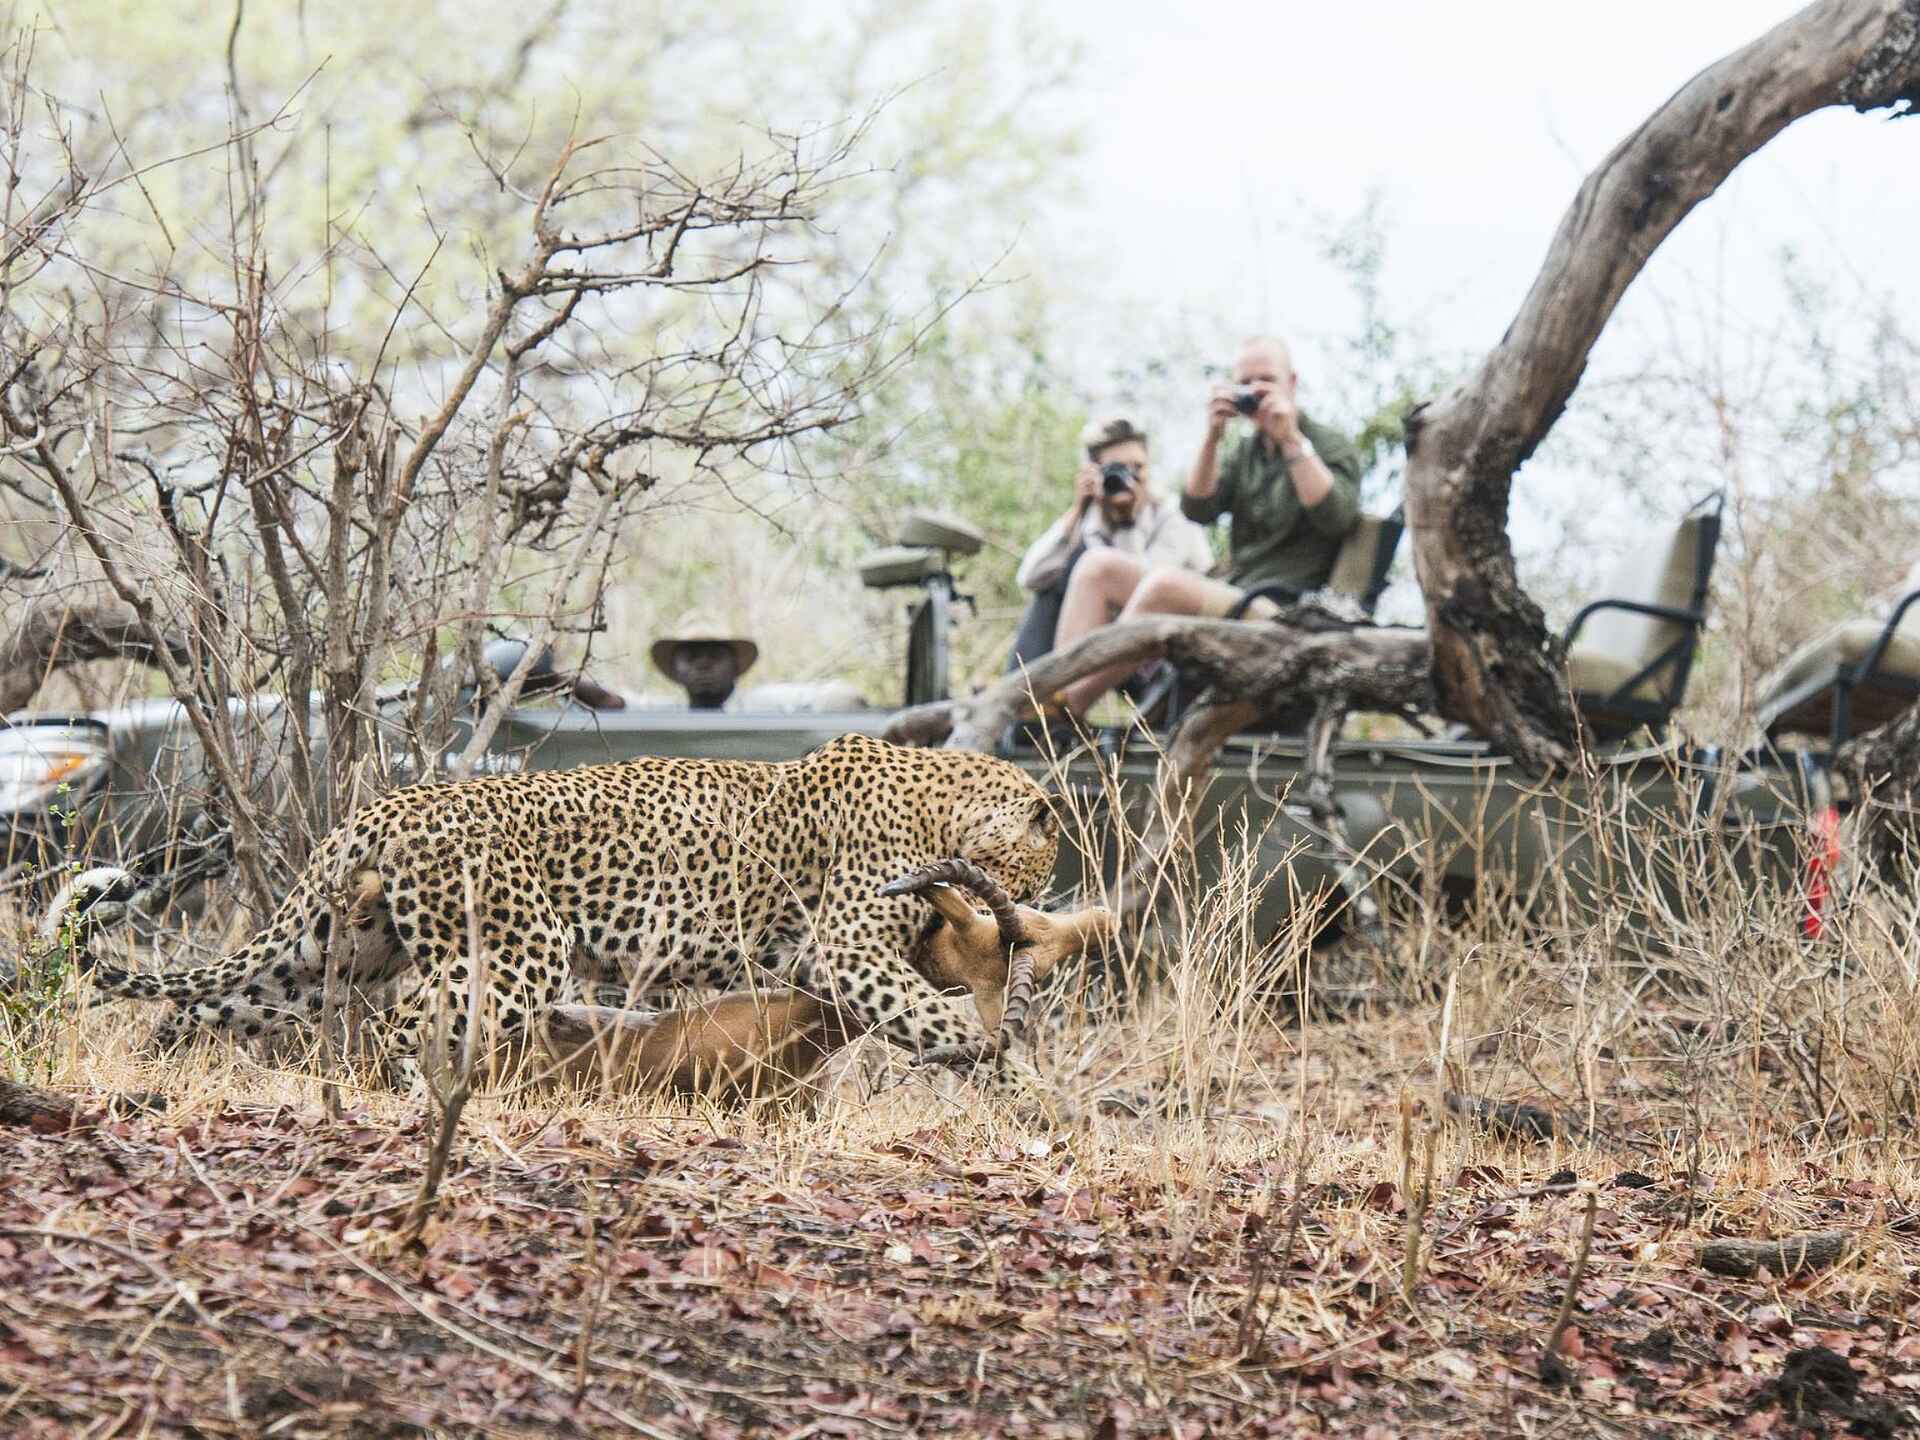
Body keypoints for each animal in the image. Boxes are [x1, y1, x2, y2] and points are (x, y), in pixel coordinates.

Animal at [49, 734, 1060, 1081]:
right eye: (1044, 861)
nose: (1030, 906)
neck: (944, 798)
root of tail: (385, 805)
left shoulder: (820, 964)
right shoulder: (849, 947)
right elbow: (940, 1018)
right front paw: (1007, 1073)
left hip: (325, 953)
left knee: (207, 1004)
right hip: (516, 947)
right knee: (415, 1022)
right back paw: (437, 1098)